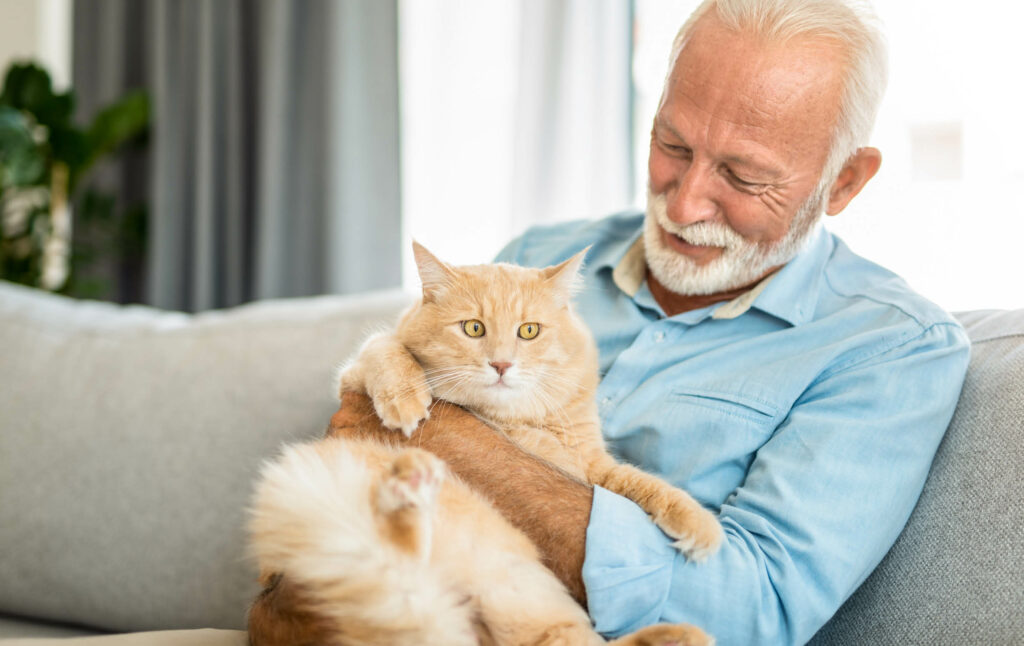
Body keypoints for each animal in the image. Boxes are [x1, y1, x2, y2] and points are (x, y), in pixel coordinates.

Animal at [249, 243, 720, 646]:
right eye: (473, 328)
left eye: (528, 331)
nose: (501, 364)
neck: (509, 419)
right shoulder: (356, 373)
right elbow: (385, 348)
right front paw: (405, 401)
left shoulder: (588, 466)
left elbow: (643, 484)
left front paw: (699, 526)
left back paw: (679, 635)